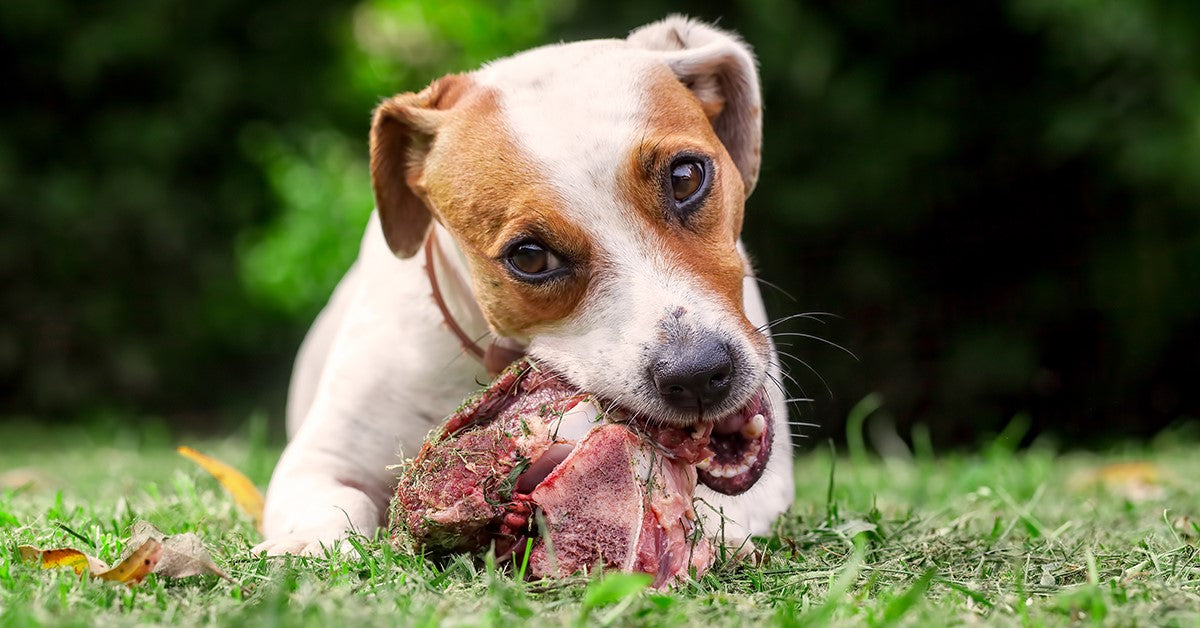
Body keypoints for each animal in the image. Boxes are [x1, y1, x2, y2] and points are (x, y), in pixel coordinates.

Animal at [256, 13, 792, 554]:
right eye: (529, 257)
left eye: (685, 177)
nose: (697, 373)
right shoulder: (321, 460)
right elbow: (333, 511)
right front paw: (308, 545)